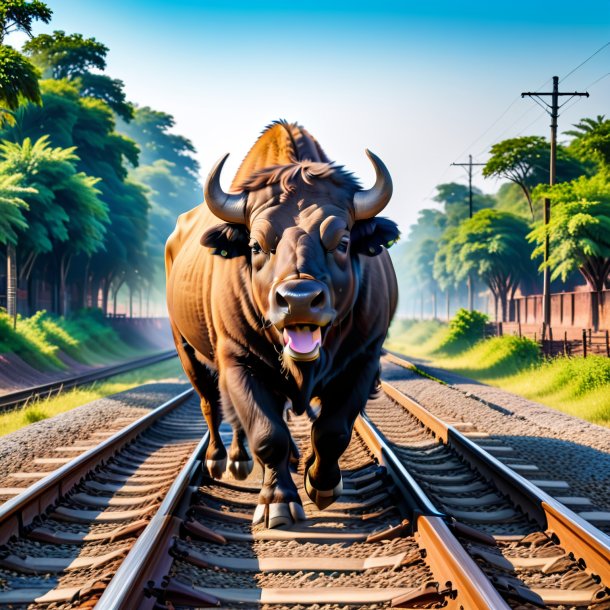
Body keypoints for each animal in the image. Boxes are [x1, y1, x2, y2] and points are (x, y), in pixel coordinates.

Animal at [164, 121, 396, 524]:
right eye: (256, 246)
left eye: (342, 241)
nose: (298, 300)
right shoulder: (238, 360)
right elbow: (266, 433)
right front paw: (277, 500)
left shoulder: (364, 359)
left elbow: (332, 430)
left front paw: (321, 484)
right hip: (187, 349)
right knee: (212, 403)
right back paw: (225, 459)